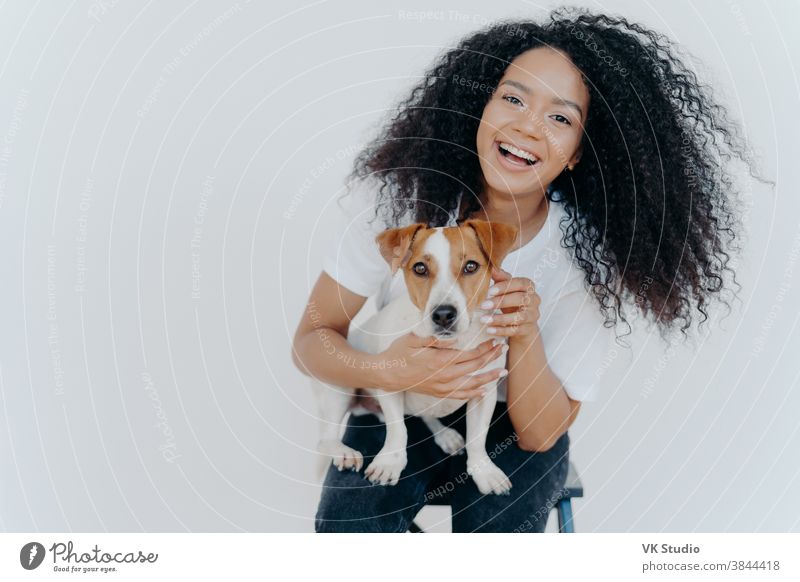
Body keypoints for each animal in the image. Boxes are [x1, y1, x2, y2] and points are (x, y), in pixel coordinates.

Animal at [310, 219, 520, 498]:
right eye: (420, 268)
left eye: (471, 266)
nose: (443, 314)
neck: (453, 346)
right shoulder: (388, 382)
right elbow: (398, 429)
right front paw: (390, 463)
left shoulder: (484, 391)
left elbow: (478, 438)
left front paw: (484, 471)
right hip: (340, 385)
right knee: (325, 438)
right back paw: (342, 451)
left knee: (427, 415)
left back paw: (445, 435)